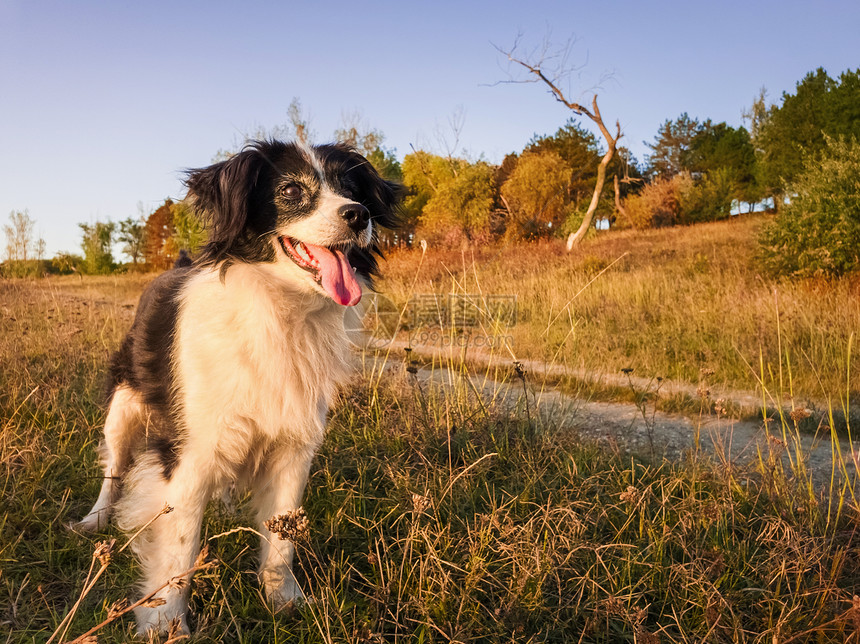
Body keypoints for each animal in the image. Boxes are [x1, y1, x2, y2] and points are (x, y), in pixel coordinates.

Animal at [73, 141, 400, 632]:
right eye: (290, 191)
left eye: (351, 188)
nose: (358, 215)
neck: (280, 313)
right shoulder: (188, 452)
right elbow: (180, 546)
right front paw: (166, 622)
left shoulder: (293, 449)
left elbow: (282, 539)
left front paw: (284, 601)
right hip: (123, 408)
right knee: (113, 469)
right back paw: (94, 522)